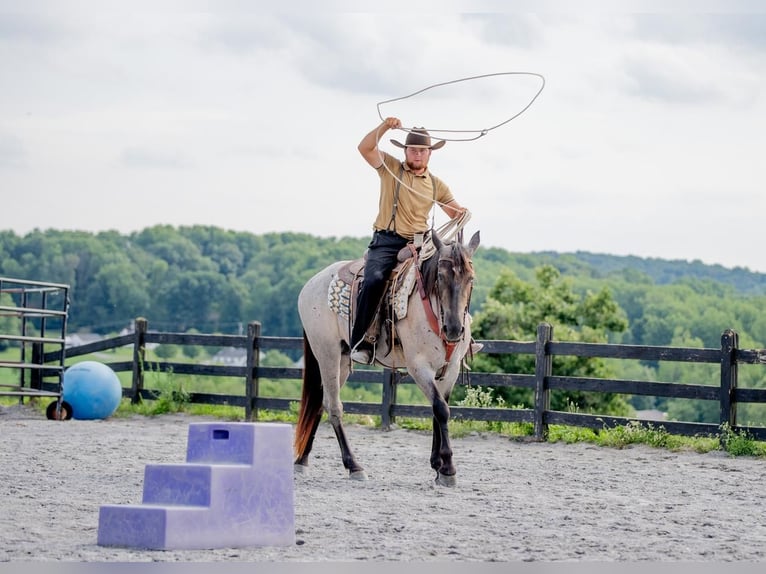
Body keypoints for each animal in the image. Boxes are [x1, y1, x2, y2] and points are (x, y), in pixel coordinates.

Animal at [294, 230, 480, 486]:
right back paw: (354, 466)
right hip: (326, 353)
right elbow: (441, 409)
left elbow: (438, 408)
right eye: (441, 277)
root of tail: (310, 285)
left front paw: (438, 466)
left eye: (470, 278)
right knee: (334, 407)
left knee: (321, 404)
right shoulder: (418, 366)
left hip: (341, 359)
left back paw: (302, 460)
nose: (453, 329)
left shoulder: (449, 369)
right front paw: (448, 469)